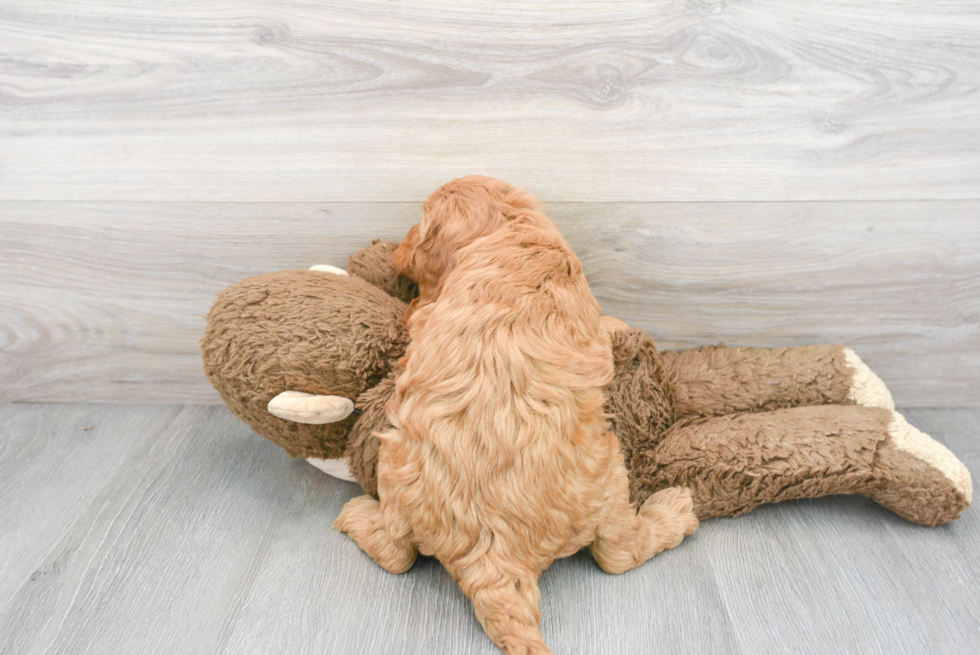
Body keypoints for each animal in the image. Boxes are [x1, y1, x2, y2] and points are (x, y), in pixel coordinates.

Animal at [334, 176, 696, 655]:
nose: (398, 248)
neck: (506, 228)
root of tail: (494, 556)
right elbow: (604, 327)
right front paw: (618, 325)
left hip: (397, 468)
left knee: (397, 553)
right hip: (608, 476)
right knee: (617, 552)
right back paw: (674, 509)